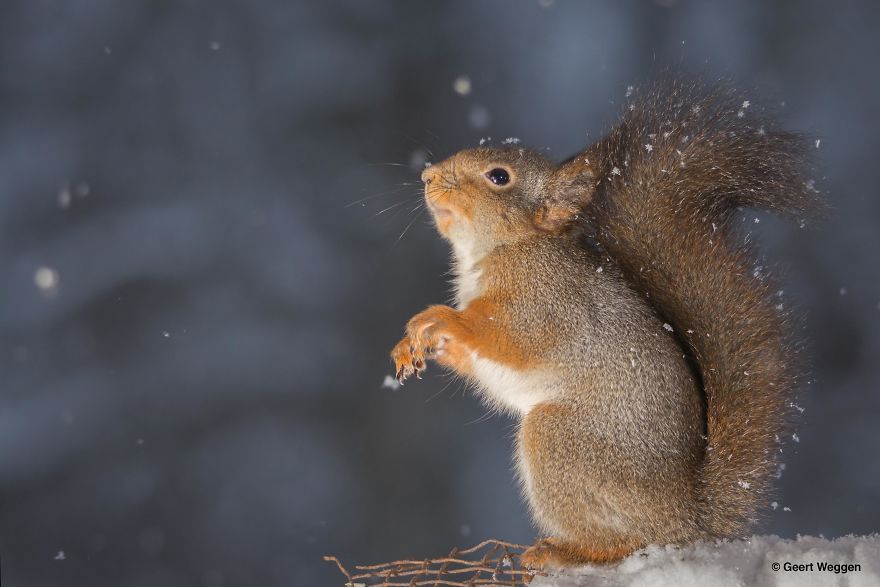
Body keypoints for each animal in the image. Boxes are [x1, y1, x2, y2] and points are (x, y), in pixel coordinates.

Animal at [390, 79, 818, 568]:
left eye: (498, 177)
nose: (427, 175)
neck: (508, 248)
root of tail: (685, 517)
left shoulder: (547, 304)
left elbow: (510, 338)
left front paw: (438, 318)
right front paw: (415, 344)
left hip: (561, 442)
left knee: (625, 541)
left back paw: (566, 552)